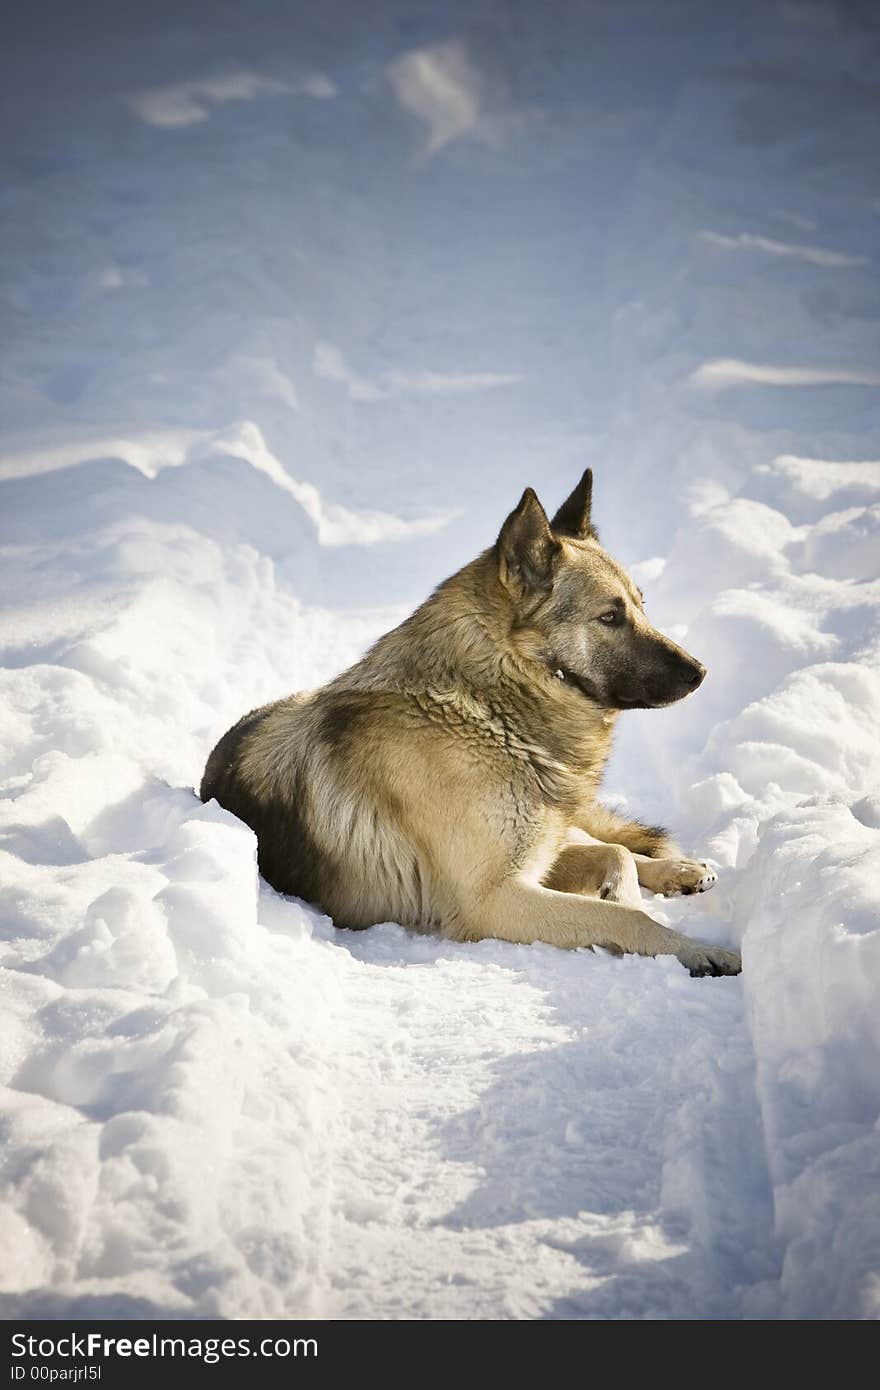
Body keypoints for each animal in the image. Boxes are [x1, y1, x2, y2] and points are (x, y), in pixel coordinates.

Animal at [200, 475, 739, 978]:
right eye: (610, 616)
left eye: (642, 607)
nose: (701, 672)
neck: (489, 709)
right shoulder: (493, 898)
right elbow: (627, 912)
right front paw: (694, 948)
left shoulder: (527, 864)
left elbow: (617, 859)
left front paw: (640, 897)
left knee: (610, 842)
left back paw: (680, 869)